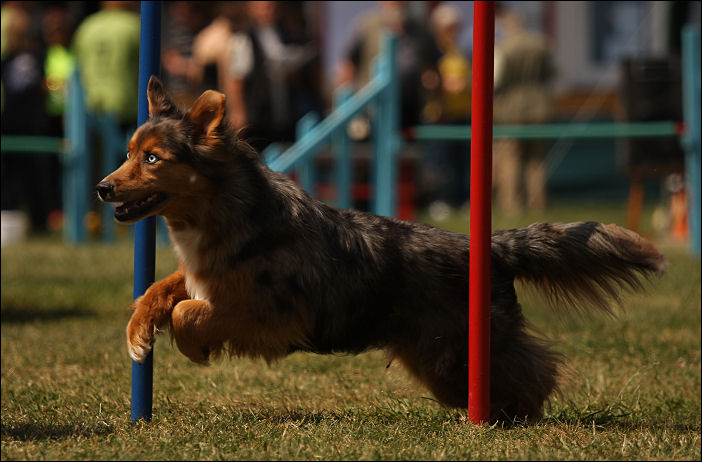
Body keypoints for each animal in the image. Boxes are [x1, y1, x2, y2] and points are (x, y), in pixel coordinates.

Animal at [96, 76, 668, 422]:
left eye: (152, 159)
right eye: (126, 153)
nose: (102, 188)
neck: (224, 212)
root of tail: (492, 245)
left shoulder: (274, 317)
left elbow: (191, 311)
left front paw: (194, 346)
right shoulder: (204, 274)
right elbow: (164, 287)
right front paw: (139, 331)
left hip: (453, 349)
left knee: (537, 369)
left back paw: (513, 415)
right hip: (438, 356)